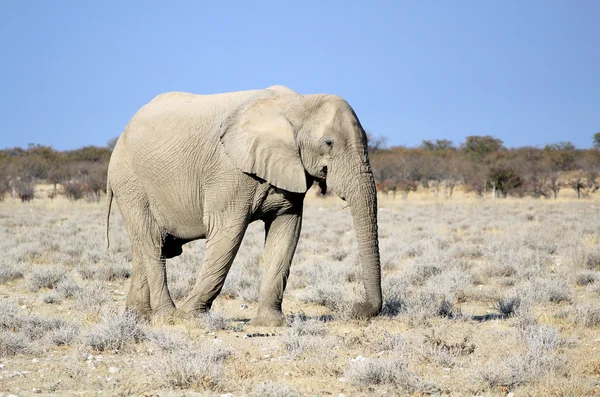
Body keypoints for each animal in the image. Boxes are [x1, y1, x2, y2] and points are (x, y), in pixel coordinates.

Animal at [105, 84, 382, 324]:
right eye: (328, 143)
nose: (357, 309)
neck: (299, 103)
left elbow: (286, 233)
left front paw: (270, 324)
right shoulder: (228, 170)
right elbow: (227, 233)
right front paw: (189, 317)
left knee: (145, 246)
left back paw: (138, 317)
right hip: (130, 182)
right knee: (151, 242)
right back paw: (167, 317)